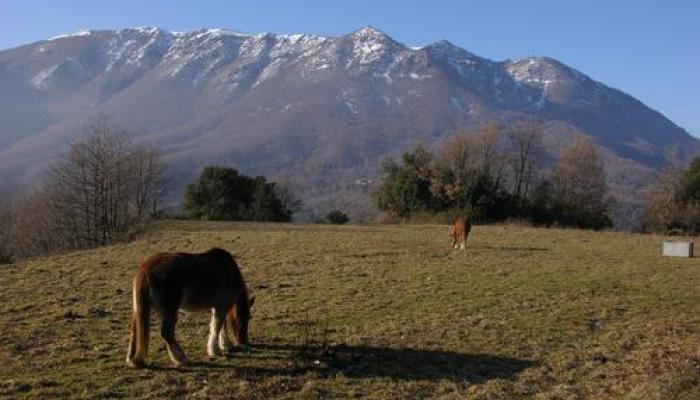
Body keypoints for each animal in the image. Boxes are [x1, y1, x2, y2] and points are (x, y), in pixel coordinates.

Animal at [125, 247, 254, 368]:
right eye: (245, 318)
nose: (244, 341)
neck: (229, 271)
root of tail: (146, 269)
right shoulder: (221, 306)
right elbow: (217, 327)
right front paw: (215, 350)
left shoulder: (218, 307)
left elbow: (222, 326)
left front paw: (225, 345)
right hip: (170, 311)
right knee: (167, 333)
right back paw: (181, 358)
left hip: (139, 310)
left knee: (134, 332)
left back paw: (132, 360)